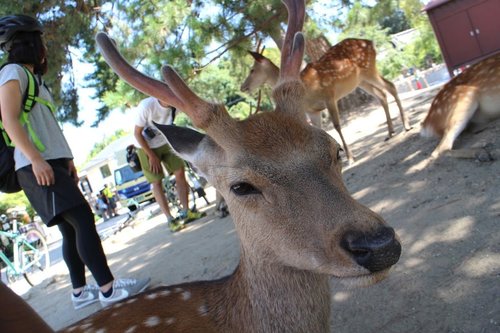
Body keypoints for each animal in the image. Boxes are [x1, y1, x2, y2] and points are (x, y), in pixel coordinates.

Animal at [241, 37, 410, 162]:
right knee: (381, 94)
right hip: (361, 81)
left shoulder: (329, 96)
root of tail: (371, 42)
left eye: (252, 70)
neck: (306, 91)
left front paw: (350, 157)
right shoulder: (312, 111)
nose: (243, 87)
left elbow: (336, 125)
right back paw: (390, 132)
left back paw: (406, 126)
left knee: (391, 86)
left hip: (369, 69)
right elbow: (320, 131)